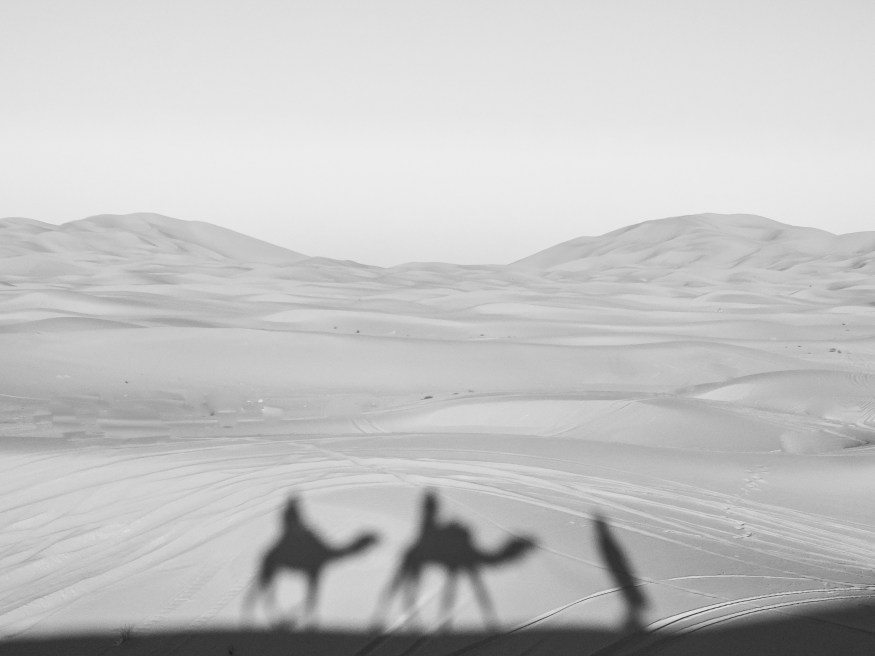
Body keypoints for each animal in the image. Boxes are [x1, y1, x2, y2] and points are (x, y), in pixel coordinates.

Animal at [243, 496, 379, 627]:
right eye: (368, 536)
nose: (378, 537)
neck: (328, 552)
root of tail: (263, 554)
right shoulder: (314, 570)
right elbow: (312, 600)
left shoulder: (314, 572)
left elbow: (310, 599)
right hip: (271, 567)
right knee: (262, 593)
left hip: (272, 569)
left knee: (263, 592)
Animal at [375, 491, 535, 629]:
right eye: (523, 541)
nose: (535, 542)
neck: (476, 551)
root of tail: (406, 549)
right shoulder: (458, 565)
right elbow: (451, 599)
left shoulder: (465, 565)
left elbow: (480, 596)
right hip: (414, 564)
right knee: (398, 590)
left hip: (414, 566)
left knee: (403, 592)